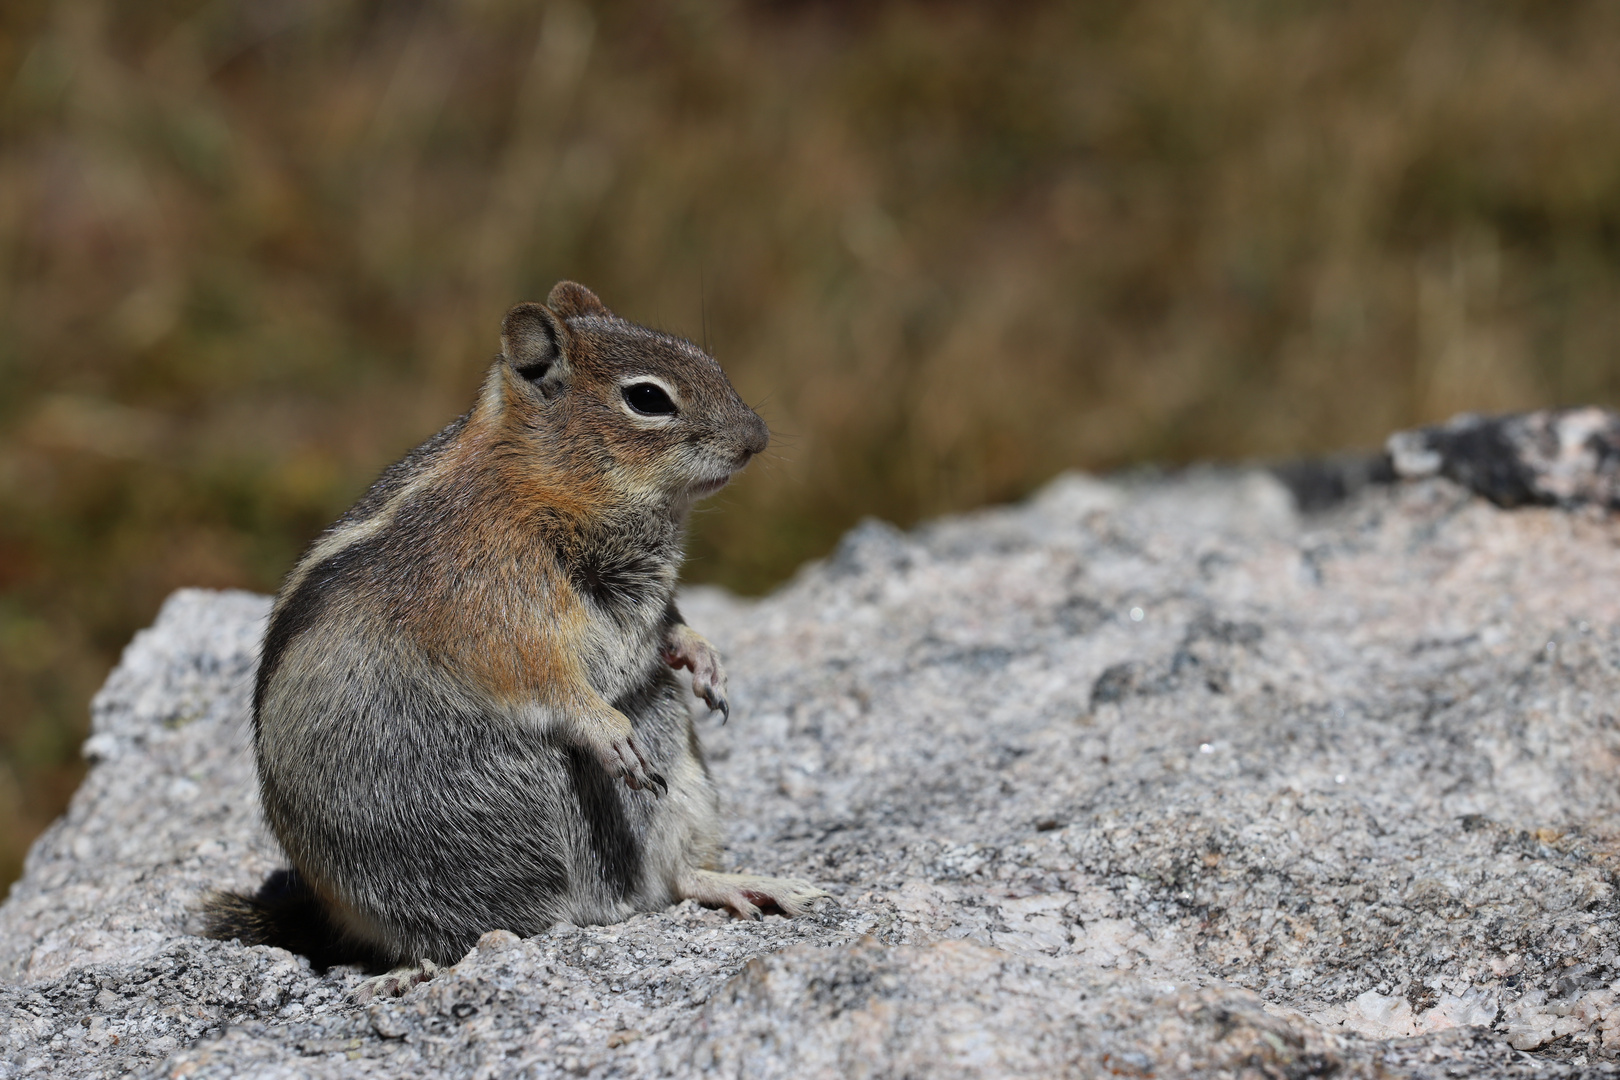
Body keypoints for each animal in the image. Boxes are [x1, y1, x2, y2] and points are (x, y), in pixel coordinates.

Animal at [205, 281, 822, 990]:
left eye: (712, 363)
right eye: (647, 398)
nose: (758, 437)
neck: (539, 486)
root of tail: (586, 907)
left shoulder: (647, 604)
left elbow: (669, 626)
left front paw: (705, 658)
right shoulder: (492, 617)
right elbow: (544, 680)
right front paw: (608, 731)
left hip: (683, 787)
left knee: (674, 878)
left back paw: (747, 884)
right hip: (396, 868)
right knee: (441, 936)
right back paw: (425, 967)